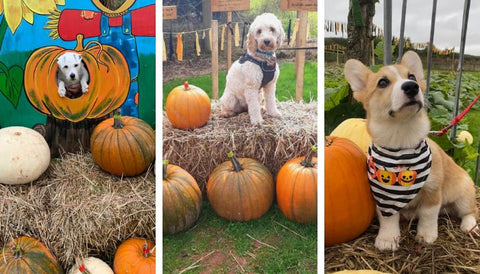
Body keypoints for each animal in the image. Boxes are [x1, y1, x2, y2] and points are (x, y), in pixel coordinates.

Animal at [344, 50, 476, 252]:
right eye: (382, 82)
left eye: (412, 76)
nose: (411, 87)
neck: (402, 141)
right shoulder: (384, 199)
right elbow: (388, 219)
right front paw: (387, 239)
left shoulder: (432, 192)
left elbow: (428, 216)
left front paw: (427, 236)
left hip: (463, 194)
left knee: (471, 212)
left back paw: (469, 226)